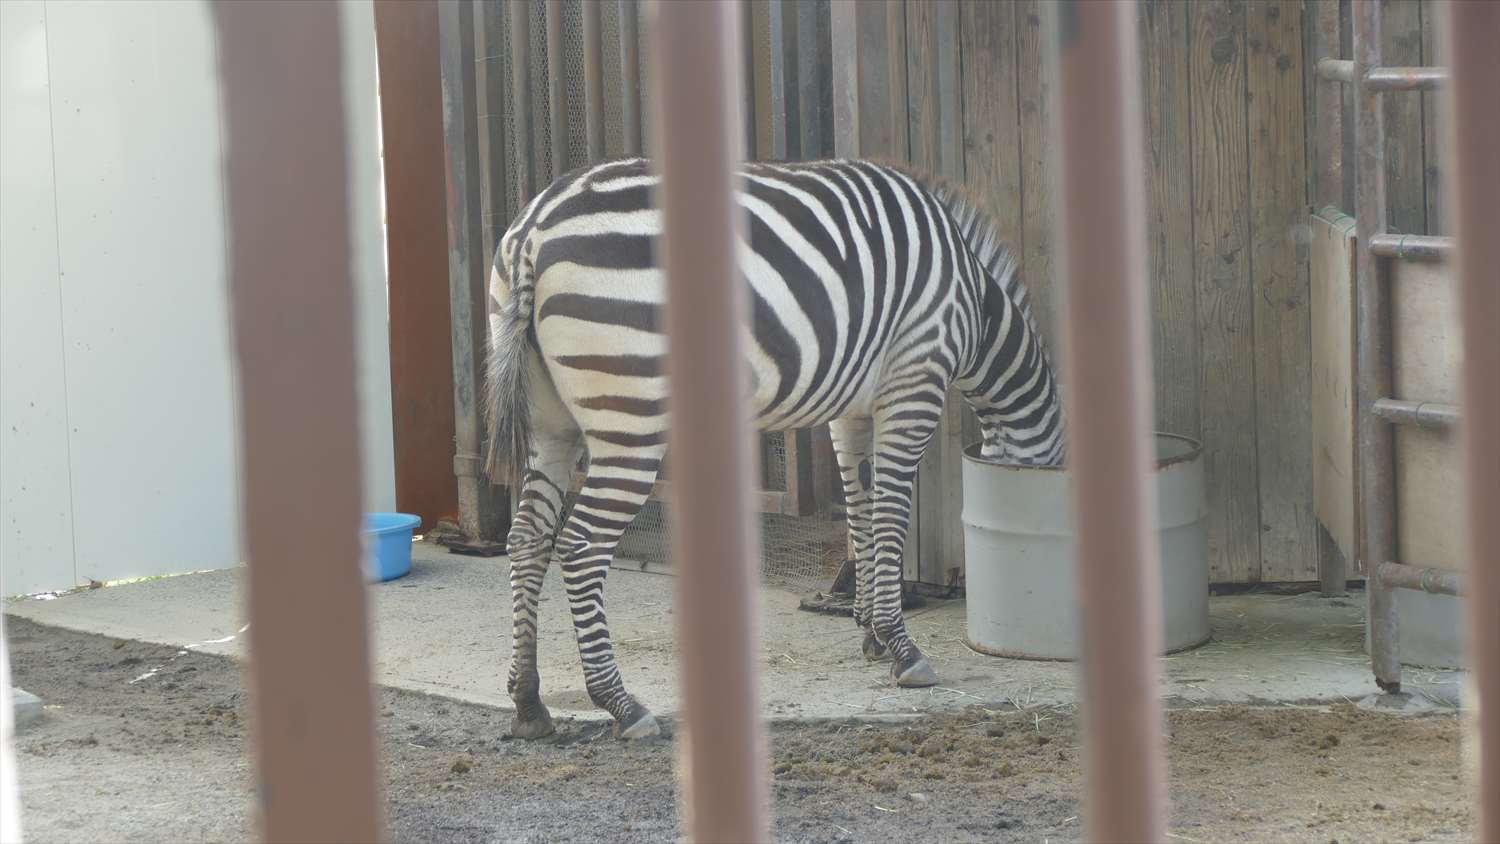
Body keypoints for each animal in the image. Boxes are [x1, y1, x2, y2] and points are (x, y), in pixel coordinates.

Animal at [486, 156, 1062, 740]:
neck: (974, 304)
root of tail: (533, 230)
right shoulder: (915, 381)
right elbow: (891, 514)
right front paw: (902, 647)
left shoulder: (851, 407)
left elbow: (862, 508)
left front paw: (871, 631)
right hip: (630, 414)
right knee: (581, 546)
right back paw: (622, 704)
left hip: (550, 423)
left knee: (528, 537)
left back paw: (529, 702)